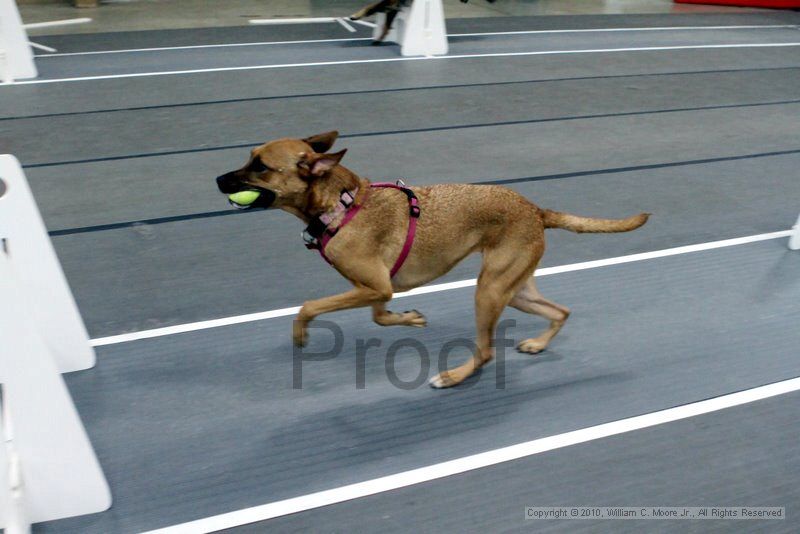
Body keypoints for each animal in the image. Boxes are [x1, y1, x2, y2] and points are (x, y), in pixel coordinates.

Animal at [214, 130, 648, 390]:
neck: (341, 204)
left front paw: (300, 334)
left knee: (487, 351)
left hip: (489, 291)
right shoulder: (376, 290)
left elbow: (309, 306)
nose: (218, 179)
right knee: (561, 311)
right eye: (250, 157)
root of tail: (536, 210)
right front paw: (408, 319)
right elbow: (380, 316)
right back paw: (538, 344)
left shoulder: (373, 286)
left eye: (260, 166)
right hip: (514, 289)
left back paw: (454, 376)